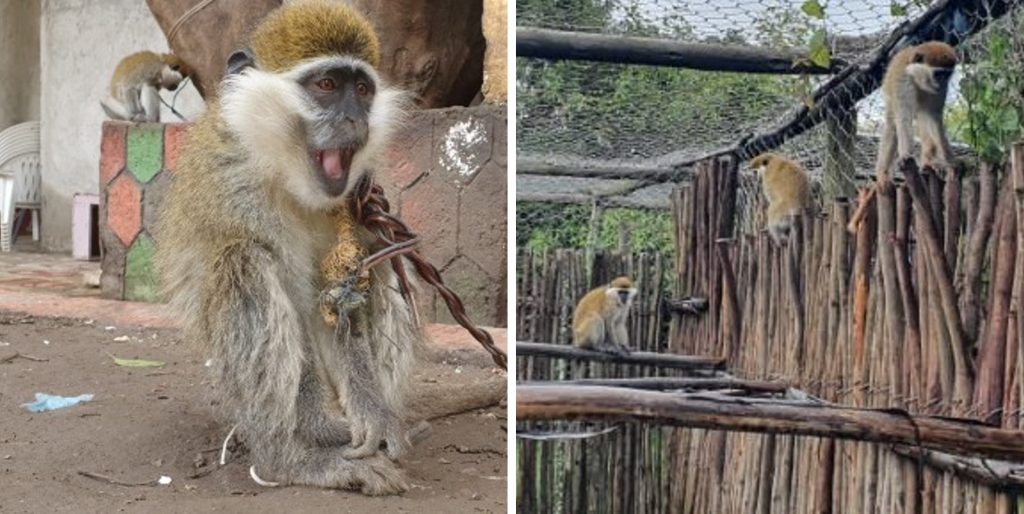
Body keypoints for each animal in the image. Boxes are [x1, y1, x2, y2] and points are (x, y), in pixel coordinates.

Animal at [152, 1, 415, 497]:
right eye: (327, 86)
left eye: (363, 90)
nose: (356, 120)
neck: (286, 173)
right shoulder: (237, 188)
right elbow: (292, 299)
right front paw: (317, 436)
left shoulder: (352, 199)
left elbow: (338, 298)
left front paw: (372, 413)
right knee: (245, 261)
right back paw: (290, 458)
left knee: (386, 257)